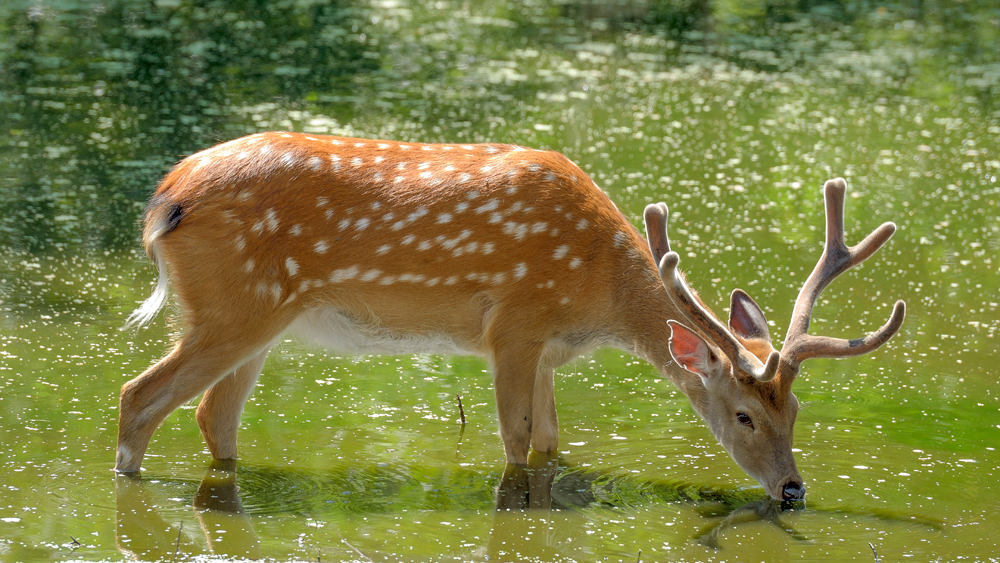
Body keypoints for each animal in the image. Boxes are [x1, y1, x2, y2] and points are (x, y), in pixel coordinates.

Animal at [117, 133, 908, 502]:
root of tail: (166, 199)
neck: (598, 289)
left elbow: (554, 442)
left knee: (212, 415)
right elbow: (518, 444)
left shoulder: (548, 350)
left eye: (796, 408)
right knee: (138, 396)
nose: (793, 488)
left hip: (254, 319)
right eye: (744, 414)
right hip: (233, 308)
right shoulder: (514, 327)